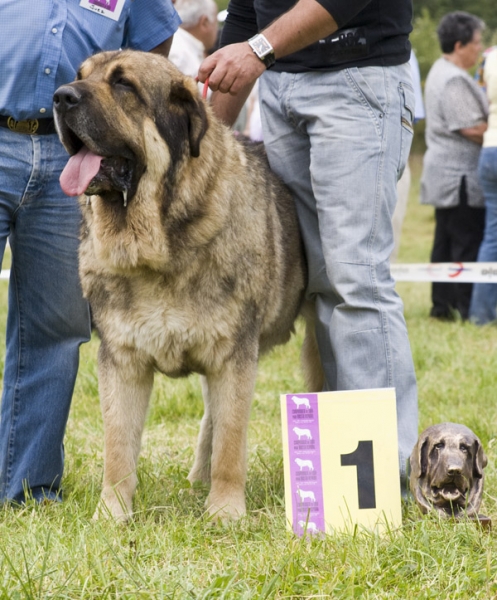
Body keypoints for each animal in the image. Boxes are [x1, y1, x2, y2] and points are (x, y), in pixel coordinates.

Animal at [51, 50, 322, 520]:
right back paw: (198, 477)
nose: (61, 95)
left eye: (123, 85)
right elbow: (118, 447)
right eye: (79, 76)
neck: (157, 247)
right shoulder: (121, 359)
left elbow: (232, 442)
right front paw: (112, 514)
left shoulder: (234, 356)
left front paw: (226, 512)